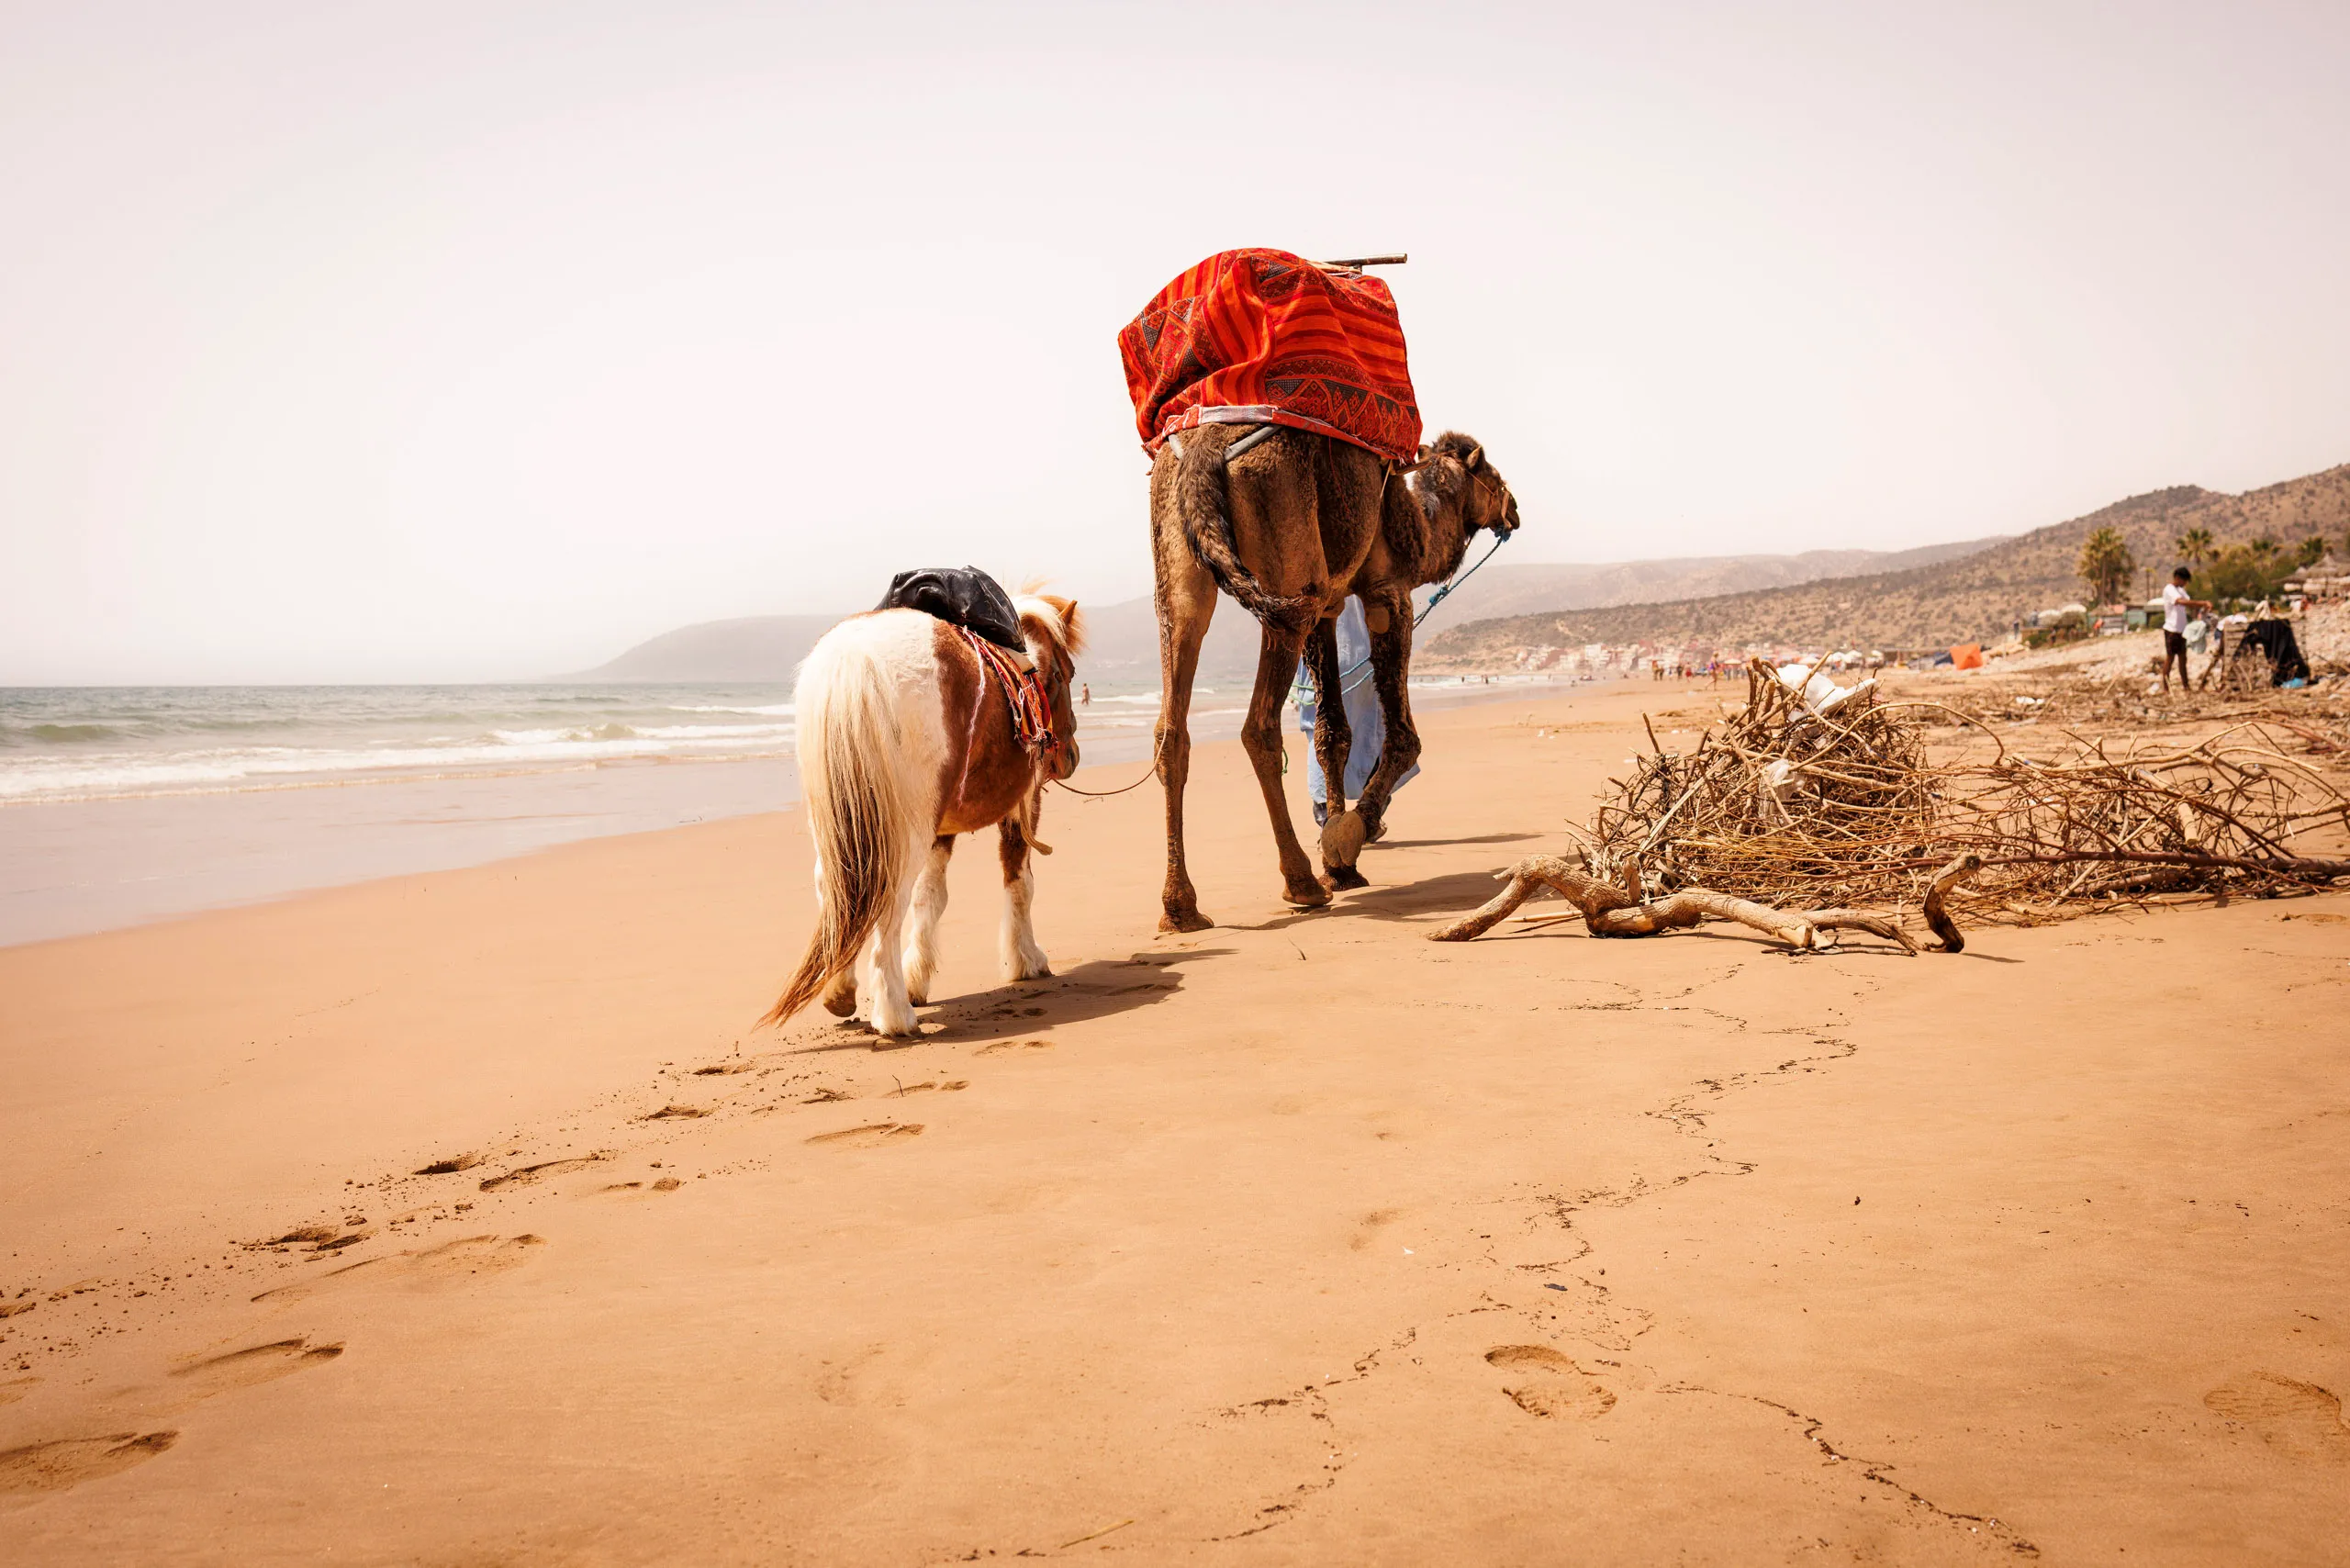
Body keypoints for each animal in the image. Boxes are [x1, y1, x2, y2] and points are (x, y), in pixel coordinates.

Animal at [760, 591, 1085, 1038]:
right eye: (1065, 673)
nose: (1070, 757)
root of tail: (853, 661)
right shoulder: (1023, 805)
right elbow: (1020, 881)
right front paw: (1026, 960)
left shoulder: (939, 826)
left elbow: (930, 897)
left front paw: (918, 978)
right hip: (900, 832)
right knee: (886, 902)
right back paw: (895, 1015)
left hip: (839, 826)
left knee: (836, 889)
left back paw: (841, 991)